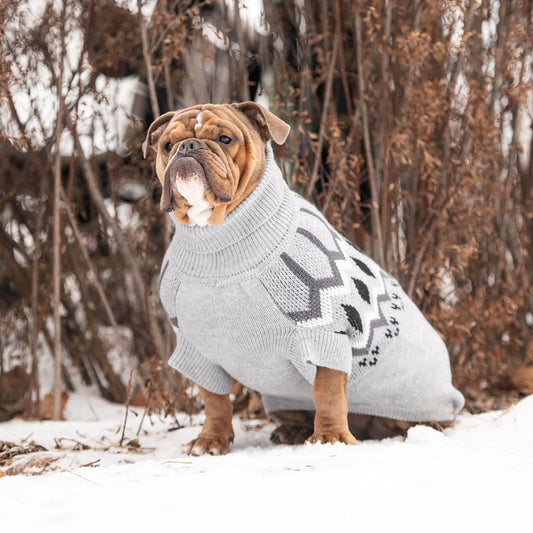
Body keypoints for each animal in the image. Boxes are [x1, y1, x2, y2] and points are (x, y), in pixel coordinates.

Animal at [141, 103, 462, 454]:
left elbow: (327, 394)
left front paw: (330, 438)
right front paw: (210, 440)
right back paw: (290, 431)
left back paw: (427, 428)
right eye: (167, 146)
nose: (187, 147)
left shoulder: (324, 336)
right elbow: (214, 401)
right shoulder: (199, 349)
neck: (217, 244)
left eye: (225, 139)